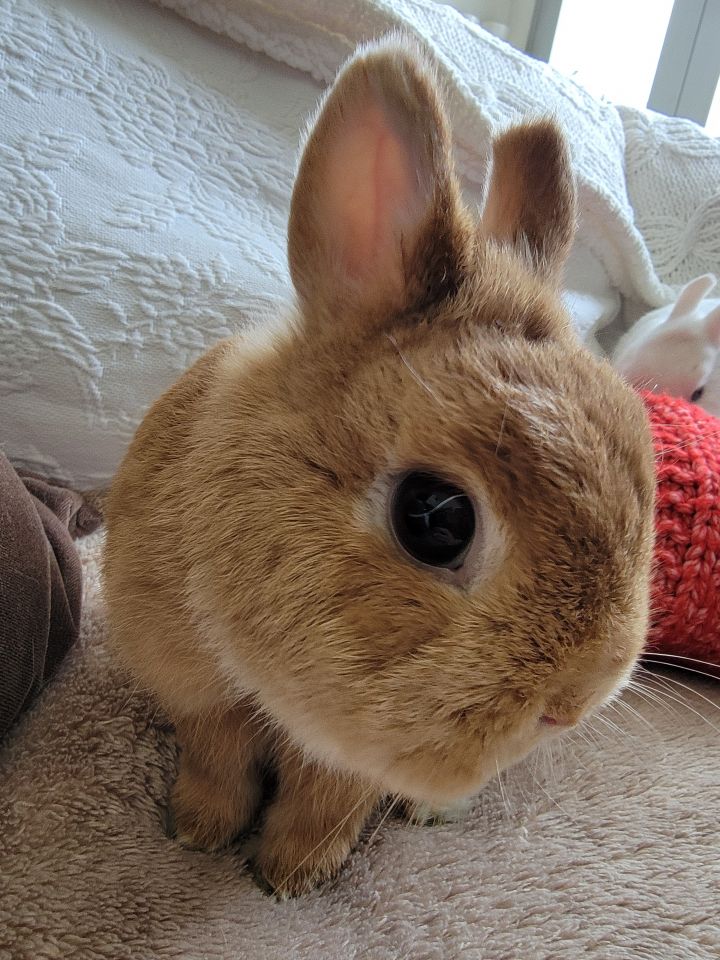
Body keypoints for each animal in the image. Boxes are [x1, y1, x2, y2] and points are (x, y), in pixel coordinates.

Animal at [102, 35, 660, 892]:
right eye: (434, 517)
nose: (574, 700)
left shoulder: (350, 758)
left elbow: (327, 800)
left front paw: (288, 876)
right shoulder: (197, 692)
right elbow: (217, 761)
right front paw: (198, 832)